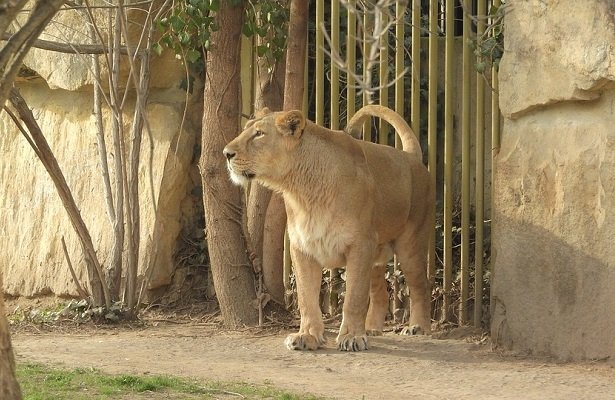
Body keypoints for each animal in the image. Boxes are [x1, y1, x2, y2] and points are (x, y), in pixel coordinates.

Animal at [223, 105, 434, 351]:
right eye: (246, 129)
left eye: (259, 134)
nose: (226, 153)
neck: (304, 191)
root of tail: (410, 156)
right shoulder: (302, 247)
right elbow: (306, 298)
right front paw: (306, 336)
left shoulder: (360, 245)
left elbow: (354, 297)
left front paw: (352, 337)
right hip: (376, 254)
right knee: (380, 292)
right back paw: (372, 329)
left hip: (409, 246)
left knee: (420, 286)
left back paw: (417, 327)